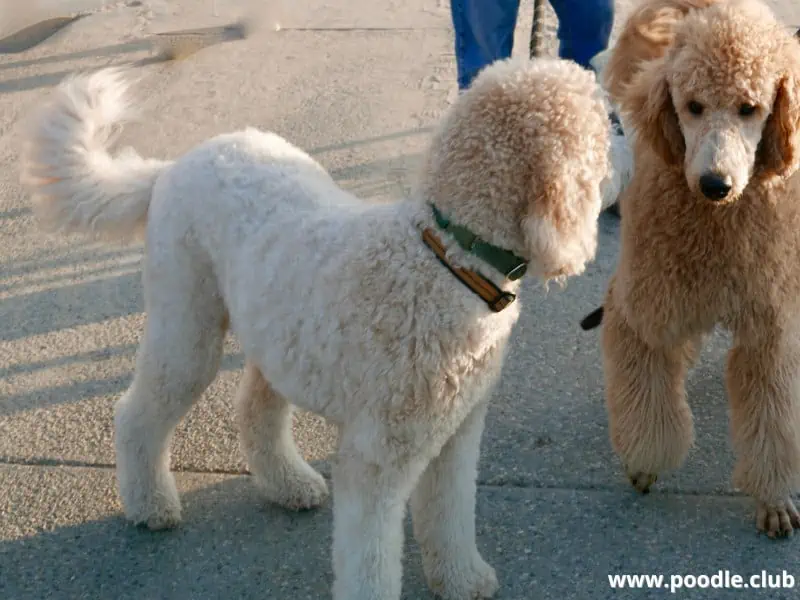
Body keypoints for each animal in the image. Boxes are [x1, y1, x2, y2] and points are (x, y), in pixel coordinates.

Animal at [21, 57, 612, 600]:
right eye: (602, 137)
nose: (615, 181)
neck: (447, 259)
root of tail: (173, 166)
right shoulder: (377, 460)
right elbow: (370, 557)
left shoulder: (456, 433)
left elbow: (450, 512)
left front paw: (463, 579)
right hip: (187, 322)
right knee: (139, 412)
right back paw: (150, 504)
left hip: (274, 333)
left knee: (255, 409)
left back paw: (288, 483)